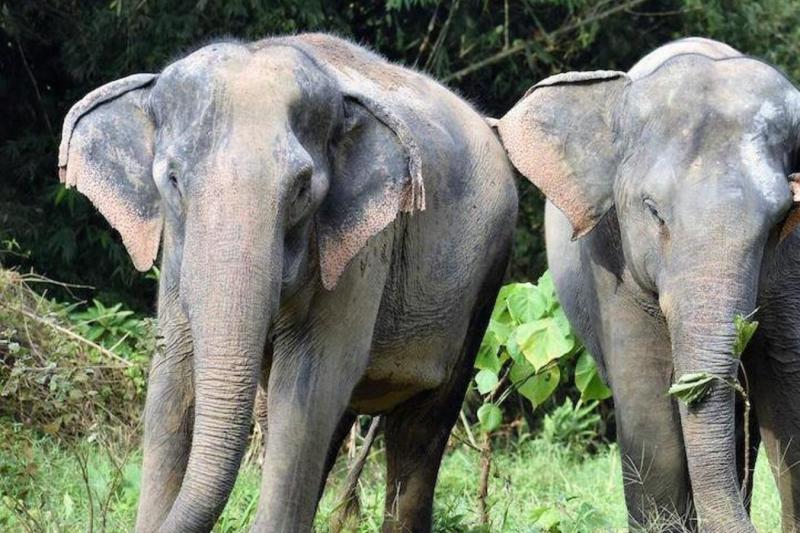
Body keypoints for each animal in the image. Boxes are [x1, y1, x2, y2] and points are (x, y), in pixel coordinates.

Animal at [58, 33, 517, 532]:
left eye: (300, 189)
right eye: (174, 180)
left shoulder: (359, 252)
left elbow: (307, 389)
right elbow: (171, 381)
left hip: (485, 278)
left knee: (421, 426)